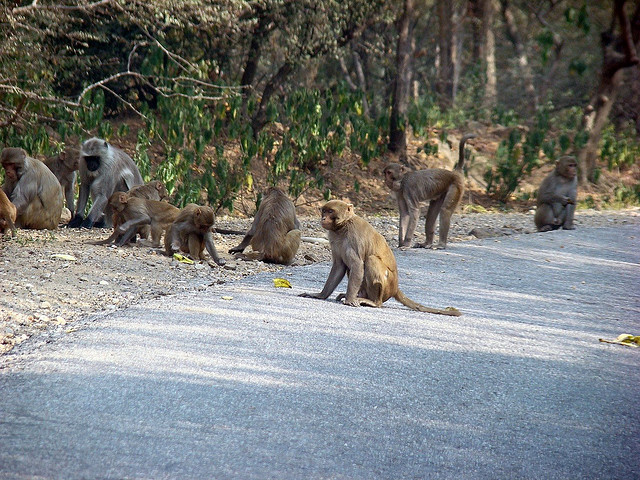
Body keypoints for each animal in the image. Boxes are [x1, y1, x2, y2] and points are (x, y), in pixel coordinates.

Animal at [300, 199, 460, 316]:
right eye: (324, 211)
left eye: (330, 211)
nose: (323, 218)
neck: (343, 226)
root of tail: (395, 288)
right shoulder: (333, 238)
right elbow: (339, 266)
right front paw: (320, 295)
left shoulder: (354, 237)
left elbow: (357, 265)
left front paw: (350, 300)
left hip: (387, 286)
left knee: (371, 260)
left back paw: (373, 302)